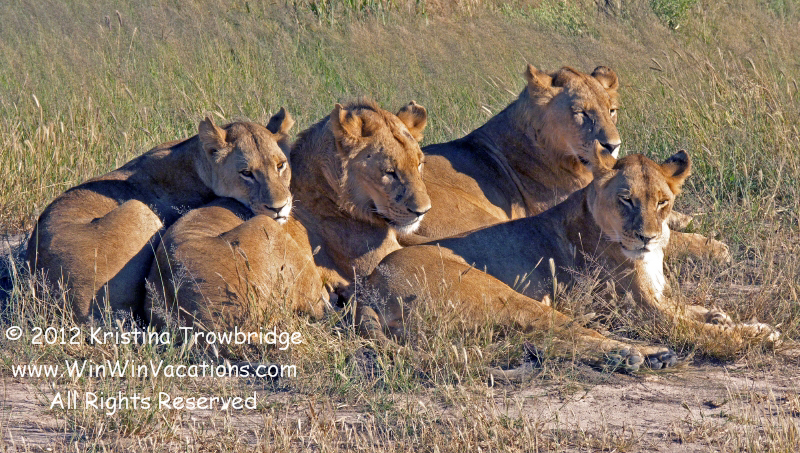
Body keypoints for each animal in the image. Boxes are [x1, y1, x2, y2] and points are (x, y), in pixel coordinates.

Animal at [359, 149, 777, 372]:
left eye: (663, 202)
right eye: (626, 200)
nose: (647, 236)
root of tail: (368, 286)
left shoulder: (657, 298)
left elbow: (690, 309)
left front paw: (726, 317)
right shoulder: (641, 311)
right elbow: (691, 327)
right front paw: (749, 334)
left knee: (541, 340)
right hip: (501, 294)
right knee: (564, 332)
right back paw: (643, 354)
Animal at [410, 64, 730, 263]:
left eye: (611, 111)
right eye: (582, 113)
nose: (613, 145)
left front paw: (689, 218)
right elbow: (664, 237)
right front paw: (713, 246)